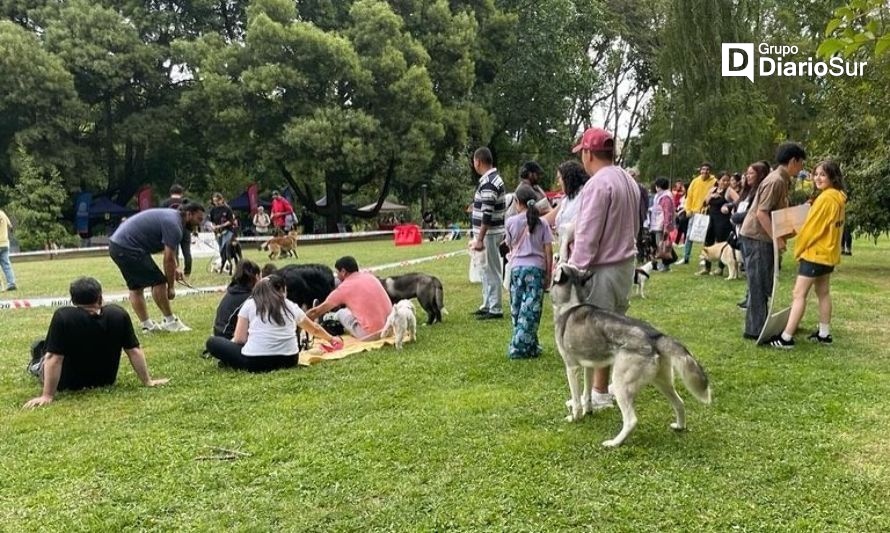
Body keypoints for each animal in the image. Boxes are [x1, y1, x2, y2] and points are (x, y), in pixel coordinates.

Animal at [548, 264, 708, 446]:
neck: (570, 304)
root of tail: (655, 335)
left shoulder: (571, 367)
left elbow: (576, 399)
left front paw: (575, 417)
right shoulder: (589, 367)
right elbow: (586, 394)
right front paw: (588, 411)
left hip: (621, 384)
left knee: (631, 420)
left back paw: (614, 443)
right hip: (662, 381)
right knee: (680, 403)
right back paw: (679, 426)